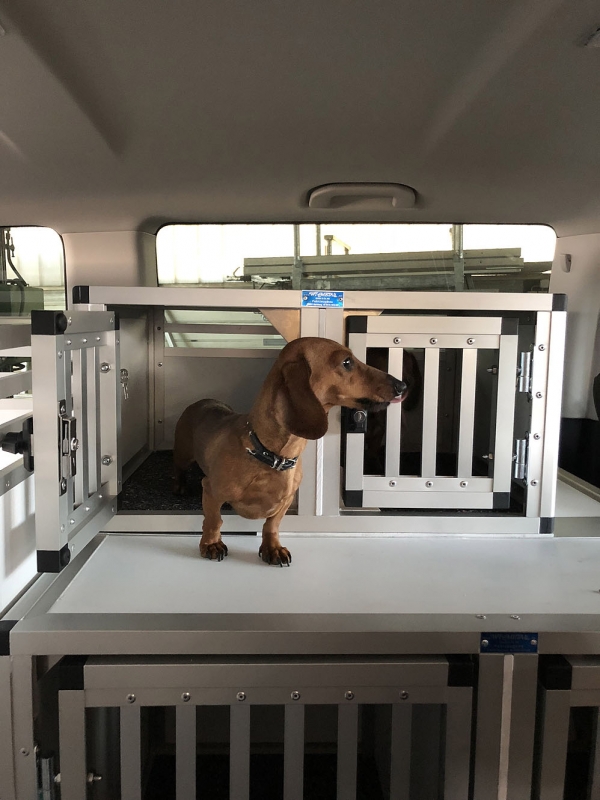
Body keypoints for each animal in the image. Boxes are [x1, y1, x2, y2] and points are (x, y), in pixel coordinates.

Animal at [173, 336, 407, 565]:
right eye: (347, 362)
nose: (402, 385)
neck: (272, 456)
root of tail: (203, 400)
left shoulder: (286, 500)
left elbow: (272, 525)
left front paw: (273, 548)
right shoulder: (211, 490)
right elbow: (214, 520)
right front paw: (211, 544)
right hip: (183, 456)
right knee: (180, 470)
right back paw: (180, 486)